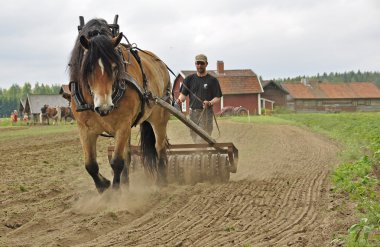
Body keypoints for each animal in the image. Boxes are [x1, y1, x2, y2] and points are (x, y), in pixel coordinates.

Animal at [68, 18, 171, 193]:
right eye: (88, 69)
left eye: (115, 67)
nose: (104, 107)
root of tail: (160, 63)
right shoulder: (85, 129)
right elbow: (90, 165)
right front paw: (104, 186)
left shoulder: (122, 124)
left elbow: (117, 162)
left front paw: (116, 192)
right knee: (128, 155)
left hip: (159, 116)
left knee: (160, 147)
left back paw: (161, 181)